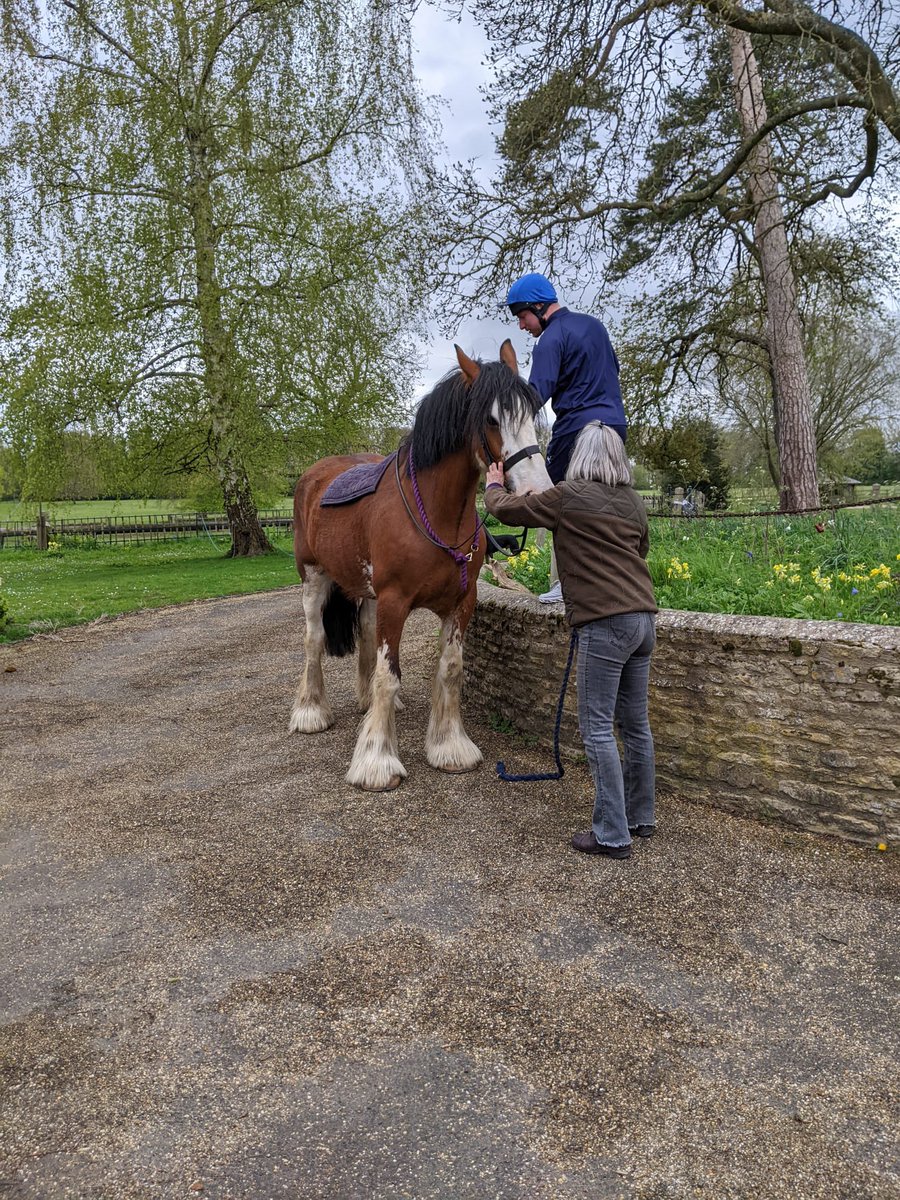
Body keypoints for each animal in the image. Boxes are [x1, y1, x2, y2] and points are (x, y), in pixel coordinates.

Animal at [290, 340, 552, 792]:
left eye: (532, 411)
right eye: (491, 418)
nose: (537, 491)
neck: (435, 510)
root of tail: (314, 476)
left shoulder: (462, 602)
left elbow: (450, 669)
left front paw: (449, 746)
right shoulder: (395, 601)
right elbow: (388, 674)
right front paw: (377, 760)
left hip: (367, 591)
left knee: (364, 634)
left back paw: (365, 703)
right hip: (314, 578)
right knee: (314, 639)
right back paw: (311, 711)